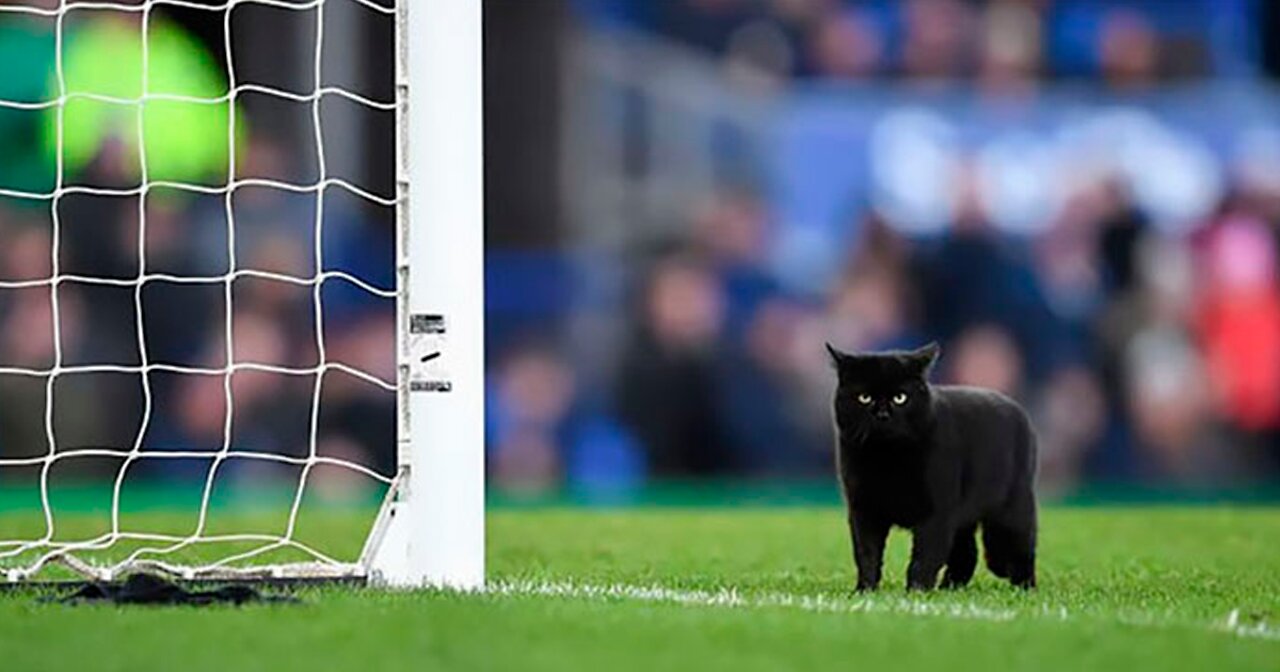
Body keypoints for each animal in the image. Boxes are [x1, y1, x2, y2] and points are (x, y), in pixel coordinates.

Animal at [829, 343, 1029, 588]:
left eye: (900, 397)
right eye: (864, 397)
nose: (883, 414)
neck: (888, 460)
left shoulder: (936, 512)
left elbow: (924, 557)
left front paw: (916, 591)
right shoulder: (863, 510)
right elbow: (867, 554)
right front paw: (864, 590)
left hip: (1014, 508)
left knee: (1023, 547)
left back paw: (1025, 587)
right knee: (967, 554)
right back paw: (950, 588)